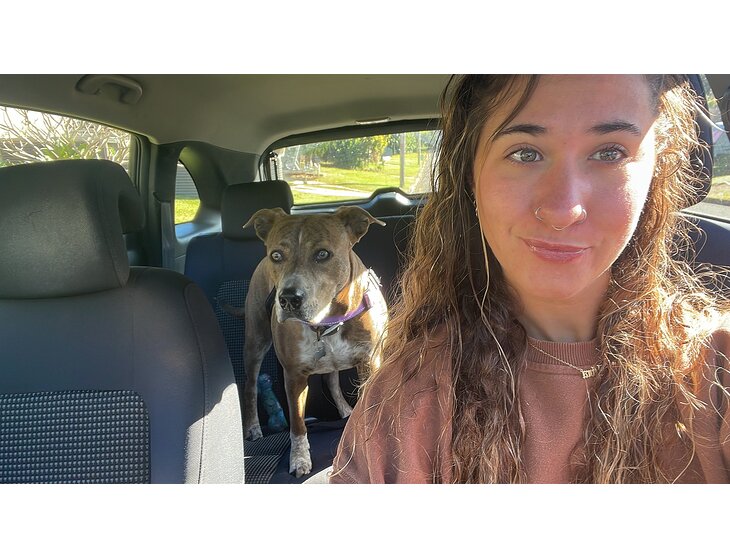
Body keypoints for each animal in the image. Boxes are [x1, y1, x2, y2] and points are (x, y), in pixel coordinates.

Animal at [242, 205, 388, 477]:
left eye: (322, 254)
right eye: (276, 255)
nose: (289, 298)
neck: (328, 323)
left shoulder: (370, 363)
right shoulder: (294, 375)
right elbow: (298, 423)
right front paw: (299, 459)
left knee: (331, 381)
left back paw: (345, 410)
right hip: (255, 341)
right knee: (250, 385)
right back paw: (253, 427)